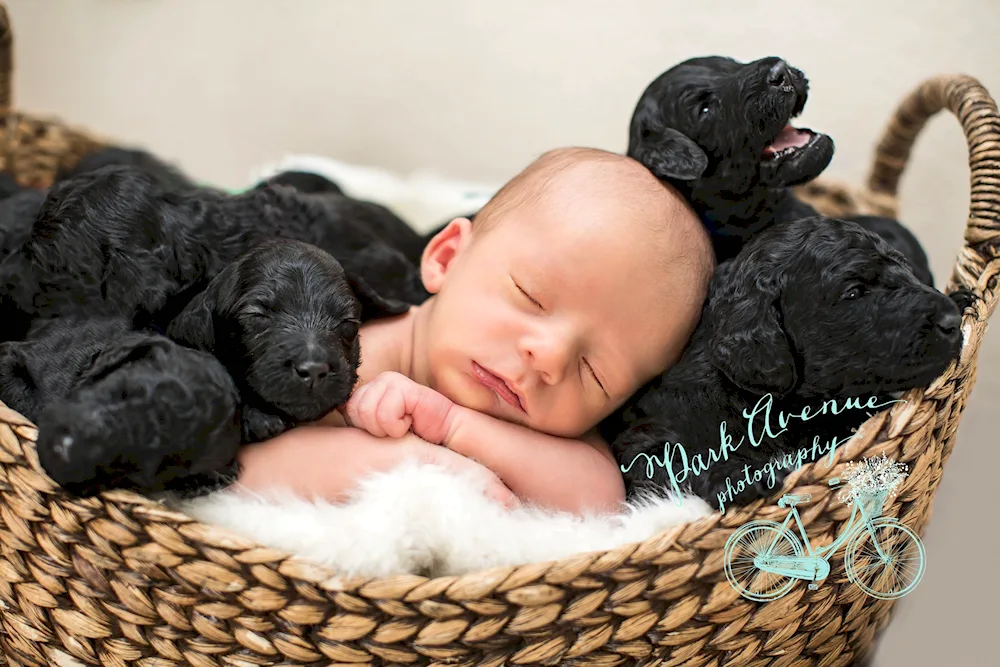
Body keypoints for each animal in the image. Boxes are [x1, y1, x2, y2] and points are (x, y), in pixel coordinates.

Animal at [604, 217, 964, 508]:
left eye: (907, 272)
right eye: (854, 292)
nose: (952, 320)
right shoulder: (645, 435)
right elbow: (676, 458)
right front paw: (738, 475)